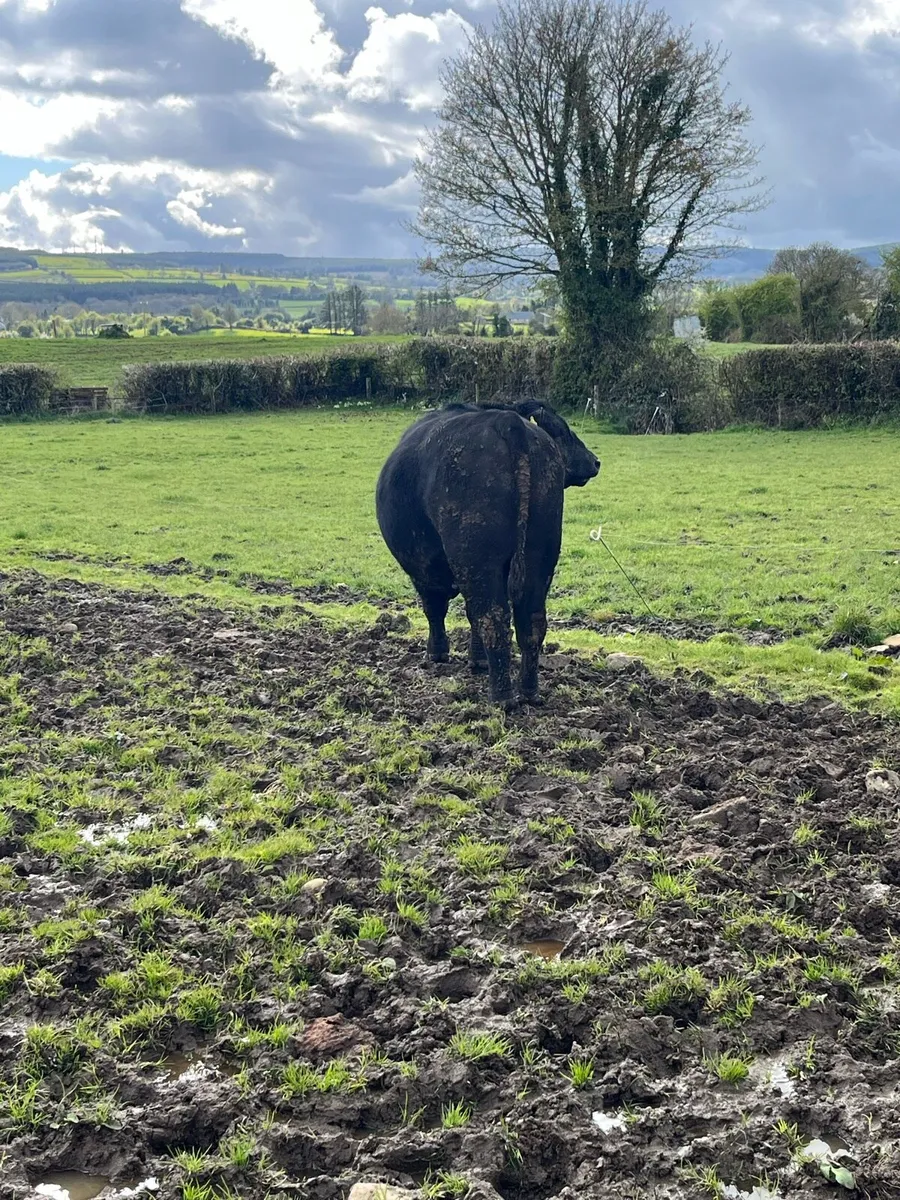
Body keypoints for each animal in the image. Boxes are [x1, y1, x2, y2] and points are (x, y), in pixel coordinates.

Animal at [375, 400, 600, 708]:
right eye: (563, 431)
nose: (595, 461)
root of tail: (507, 421)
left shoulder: (422, 569)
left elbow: (435, 609)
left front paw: (437, 654)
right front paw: (477, 660)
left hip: (478, 562)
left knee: (493, 618)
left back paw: (501, 697)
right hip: (540, 556)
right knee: (531, 621)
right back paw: (528, 692)